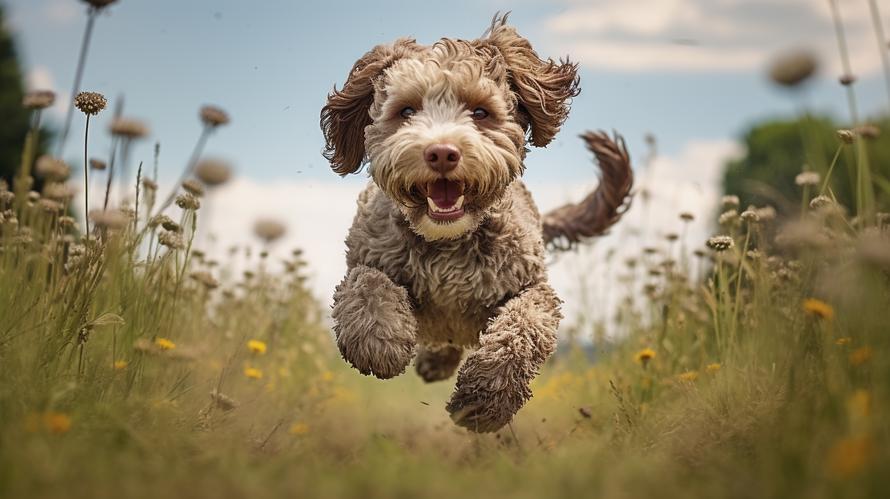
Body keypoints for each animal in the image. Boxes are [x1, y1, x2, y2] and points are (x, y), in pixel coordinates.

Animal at [320, 13, 632, 432]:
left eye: (480, 112)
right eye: (406, 111)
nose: (441, 153)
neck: (448, 241)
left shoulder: (531, 288)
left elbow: (521, 328)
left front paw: (482, 402)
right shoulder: (369, 255)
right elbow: (367, 284)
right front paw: (379, 343)